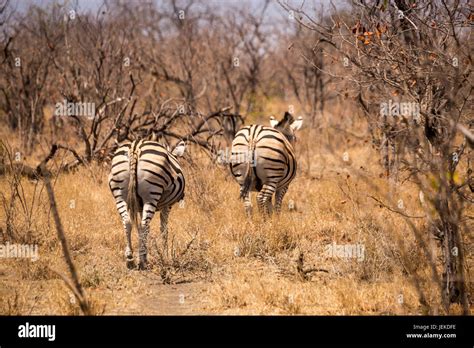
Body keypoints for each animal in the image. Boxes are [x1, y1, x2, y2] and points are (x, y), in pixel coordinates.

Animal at [108, 139, 186, 270]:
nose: (183, 196)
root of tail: (135, 147)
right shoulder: (167, 205)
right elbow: (163, 229)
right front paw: (165, 254)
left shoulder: (139, 206)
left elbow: (141, 229)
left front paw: (144, 253)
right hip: (152, 194)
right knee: (144, 224)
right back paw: (142, 262)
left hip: (119, 194)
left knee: (127, 221)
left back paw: (130, 259)